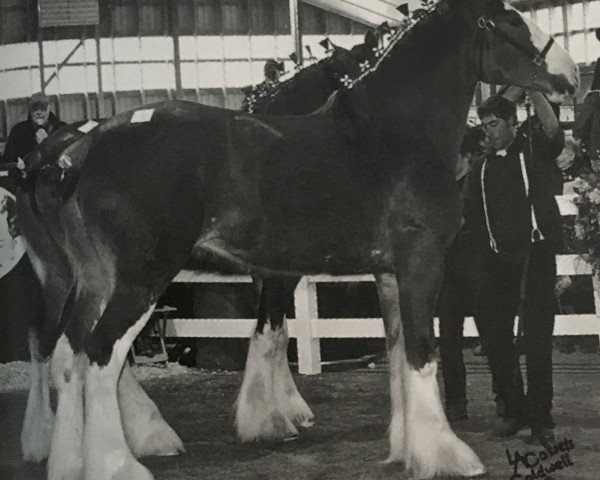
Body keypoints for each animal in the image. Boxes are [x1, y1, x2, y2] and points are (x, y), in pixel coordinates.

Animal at [14, 1, 576, 478]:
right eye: (510, 21)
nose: (569, 76)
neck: (393, 135)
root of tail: (81, 149)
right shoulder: (419, 263)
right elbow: (420, 352)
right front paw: (445, 455)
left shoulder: (386, 272)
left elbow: (395, 354)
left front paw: (405, 448)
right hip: (140, 280)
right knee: (100, 358)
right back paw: (120, 463)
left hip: (92, 281)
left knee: (67, 355)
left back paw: (67, 460)